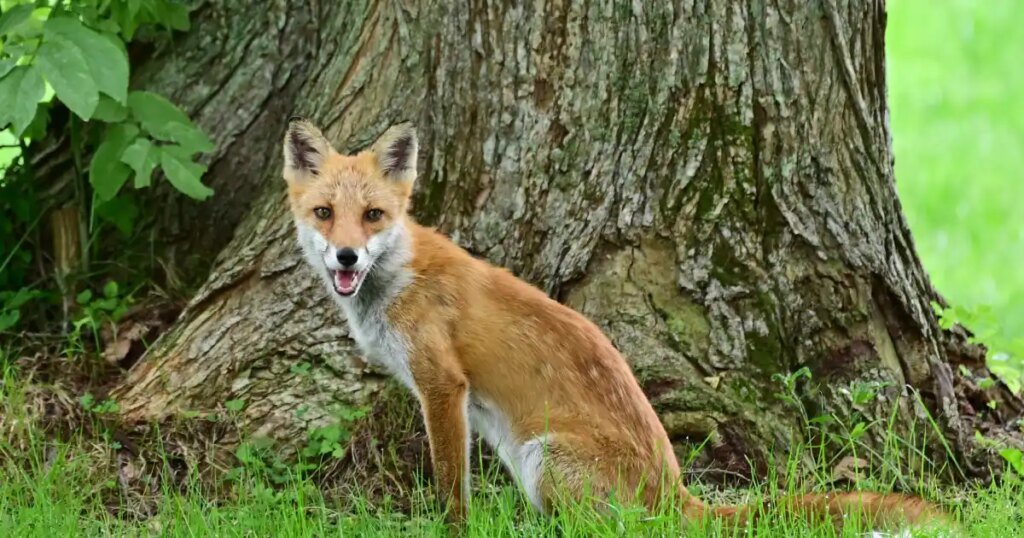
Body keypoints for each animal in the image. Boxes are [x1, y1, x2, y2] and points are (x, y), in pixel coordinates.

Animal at [281, 118, 951, 533]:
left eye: (373, 215)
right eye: (325, 213)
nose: (346, 258)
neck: (398, 277)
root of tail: (676, 492)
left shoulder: (443, 385)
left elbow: (452, 493)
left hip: (542, 456)